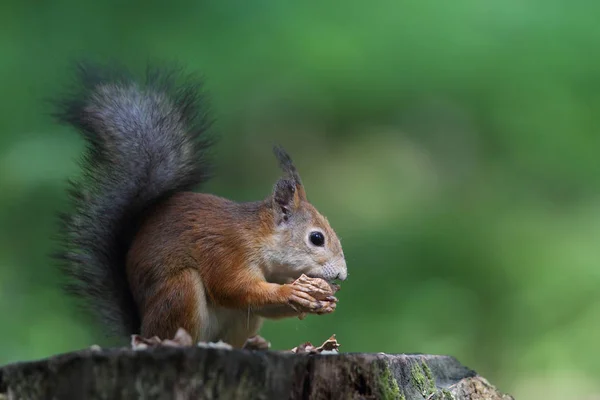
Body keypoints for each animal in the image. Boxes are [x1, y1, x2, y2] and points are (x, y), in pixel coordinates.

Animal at [54, 62, 350, 346]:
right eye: (316, 238)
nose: (342, 276)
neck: (258, 236)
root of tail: (141, 332)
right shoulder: (224, 251)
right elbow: (232, 288)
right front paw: (293, 291)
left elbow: (263, 305)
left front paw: (321, 301)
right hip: (179, 292)